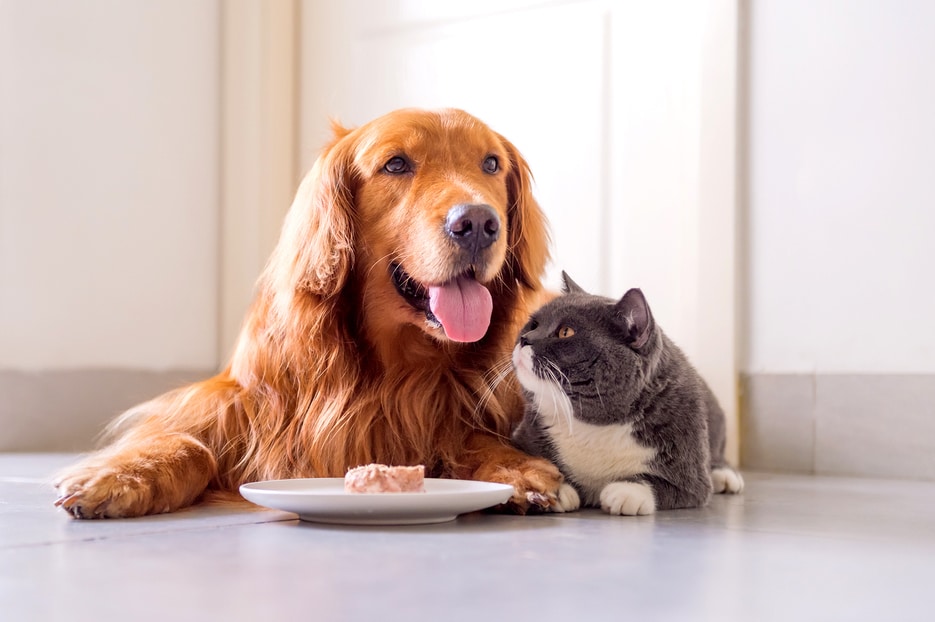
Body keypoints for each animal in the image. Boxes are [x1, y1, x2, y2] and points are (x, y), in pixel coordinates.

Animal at [56, 108, 564, 520]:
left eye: (491, 164)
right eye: (396, 164)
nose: (477, 223)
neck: (395, 369)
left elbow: (474, 437)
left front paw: (515, 468)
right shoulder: (237, 400)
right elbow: (183, 440)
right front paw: (123, 474)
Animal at [508, 274, 744, 516]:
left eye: (566, 332)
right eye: (533, 324)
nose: (525, 338)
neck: (592, 427)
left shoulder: (690, 474)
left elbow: (666, 484)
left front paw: (627, 491)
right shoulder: (522, 437)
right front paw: (553, 487)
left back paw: (725, 475)